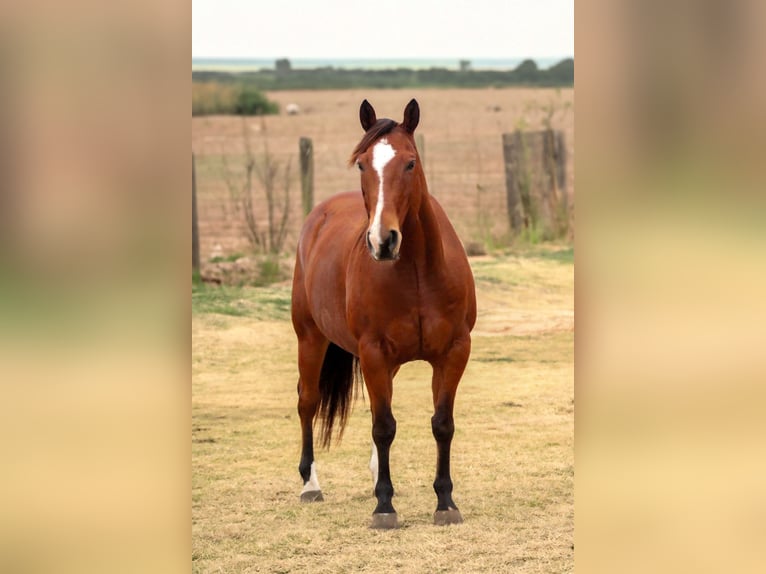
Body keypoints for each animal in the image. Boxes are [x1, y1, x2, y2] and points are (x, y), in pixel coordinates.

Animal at [292, 99, 476, 532]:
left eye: (410, 163)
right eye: (362, 164)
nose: (383, 240)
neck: (418, 273)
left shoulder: (453, 352)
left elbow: (441, 424)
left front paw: (445, 502)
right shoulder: (374, 352)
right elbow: (384, 426)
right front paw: (384, 507)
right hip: (310, 338)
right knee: (308, 401)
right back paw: (310, 484)